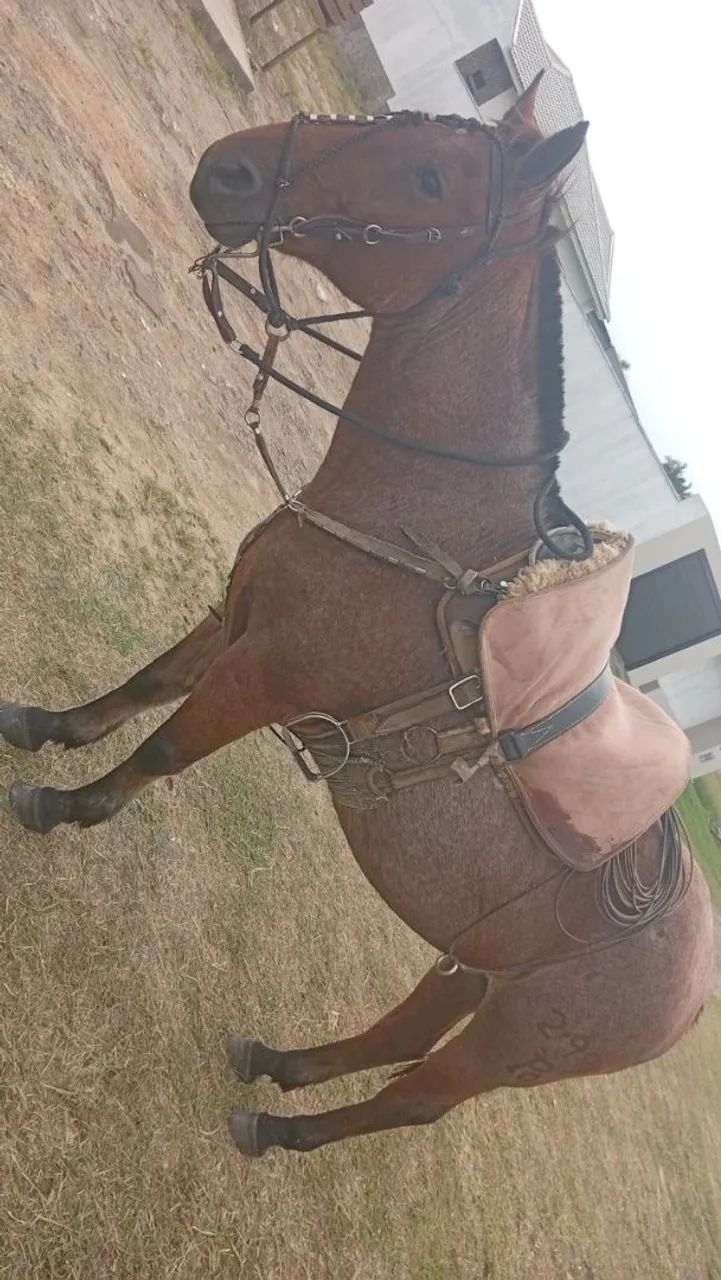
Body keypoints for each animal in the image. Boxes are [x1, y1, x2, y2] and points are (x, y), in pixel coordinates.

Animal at [0, 80, 713, 1157]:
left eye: (426, 177)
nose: (228, 169)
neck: (409, 520)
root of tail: (694, 986)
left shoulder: (266, 673)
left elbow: (162, 747)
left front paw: (62, 805)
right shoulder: (236, 619)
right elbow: (138, 688)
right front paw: (40, 725)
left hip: (516, 1035)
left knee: (413, 1095)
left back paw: (273, 1127)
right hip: (473, 964)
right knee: (395, 1036)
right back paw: (279, 1061)